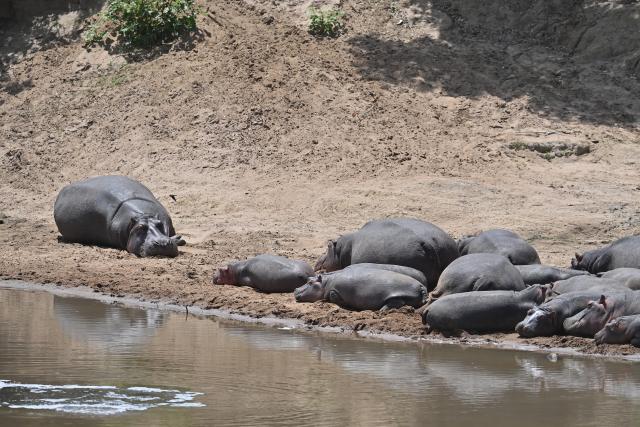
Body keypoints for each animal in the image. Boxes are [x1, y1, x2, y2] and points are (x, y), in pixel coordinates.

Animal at [293, 267, 428, 311]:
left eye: (310, 282)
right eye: (308, 279)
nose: (295, 290)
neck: (326, 282)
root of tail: (421, 286)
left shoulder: (335, 291)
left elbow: (333, 296)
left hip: (398, 294)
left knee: (398, 302)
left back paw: (382, 310)